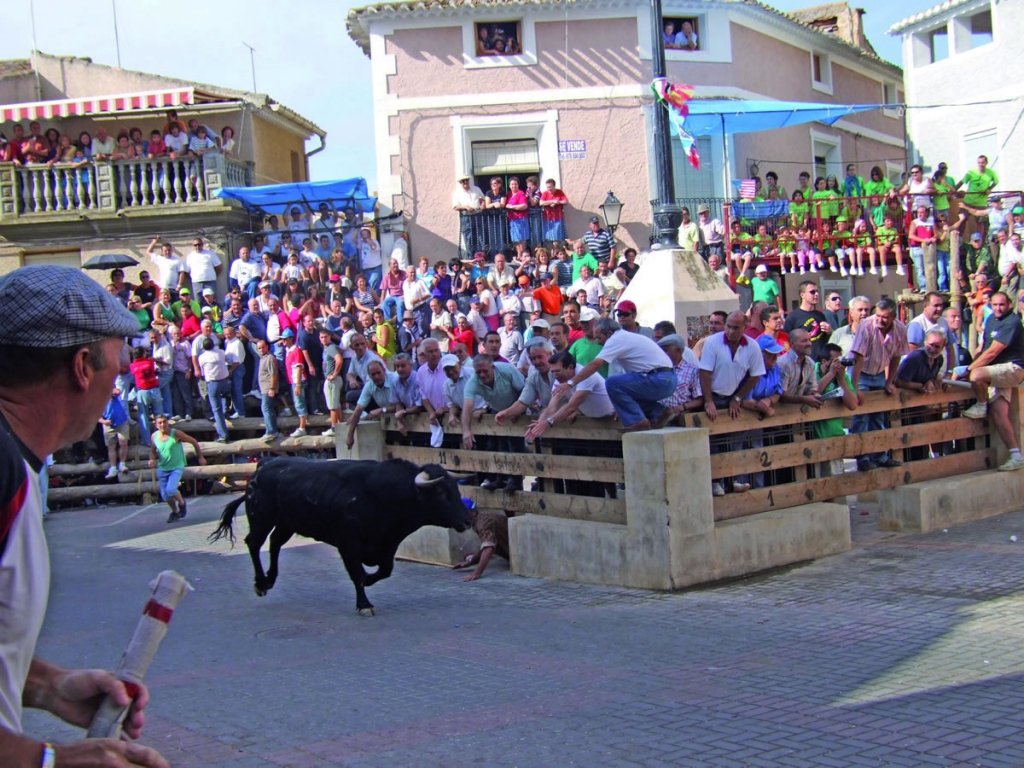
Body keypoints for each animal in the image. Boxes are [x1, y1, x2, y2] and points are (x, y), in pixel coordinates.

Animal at [214, 460, 477, 618]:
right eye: (441, 493)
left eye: (456, 489)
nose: (467, 520)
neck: (383, 495)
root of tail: (260, 468)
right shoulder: (348, 545)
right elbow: (357, 575)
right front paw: (364, 604)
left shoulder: (386, 546)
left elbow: (384, 571)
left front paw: (369, 581)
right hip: (262, 518)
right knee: (254, 543)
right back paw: (260, 583)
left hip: (286, 523)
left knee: (275, 543)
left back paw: (269, 580)